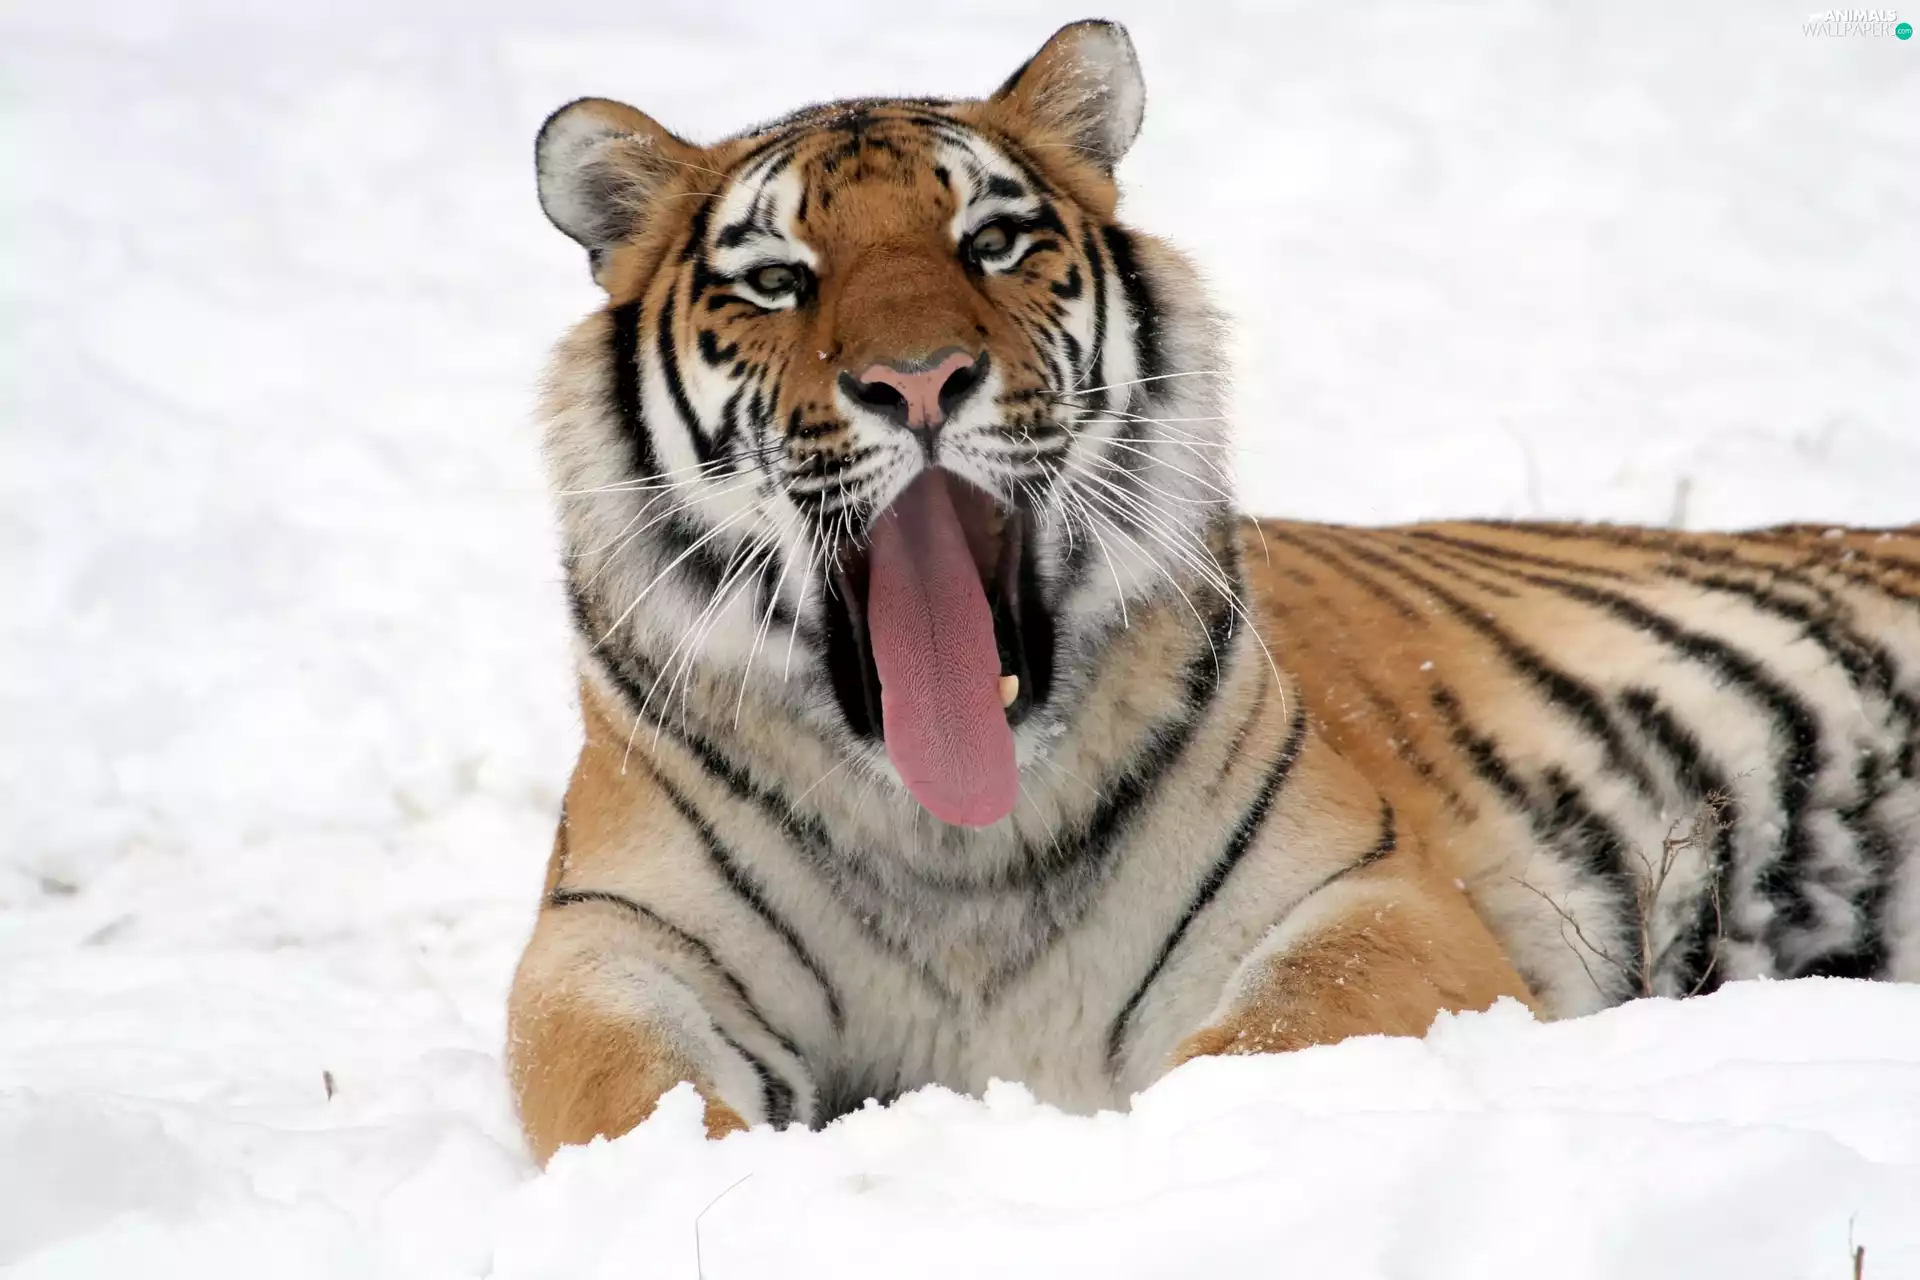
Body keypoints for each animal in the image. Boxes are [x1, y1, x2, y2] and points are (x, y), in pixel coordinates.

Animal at [507, 19, 1920, 1162]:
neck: (955, 845)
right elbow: (625, 1091)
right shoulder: (610, 939)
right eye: (776, 280)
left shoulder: (1367, 898)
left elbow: (1261, 1045)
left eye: (994, 242)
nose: (919, 381)